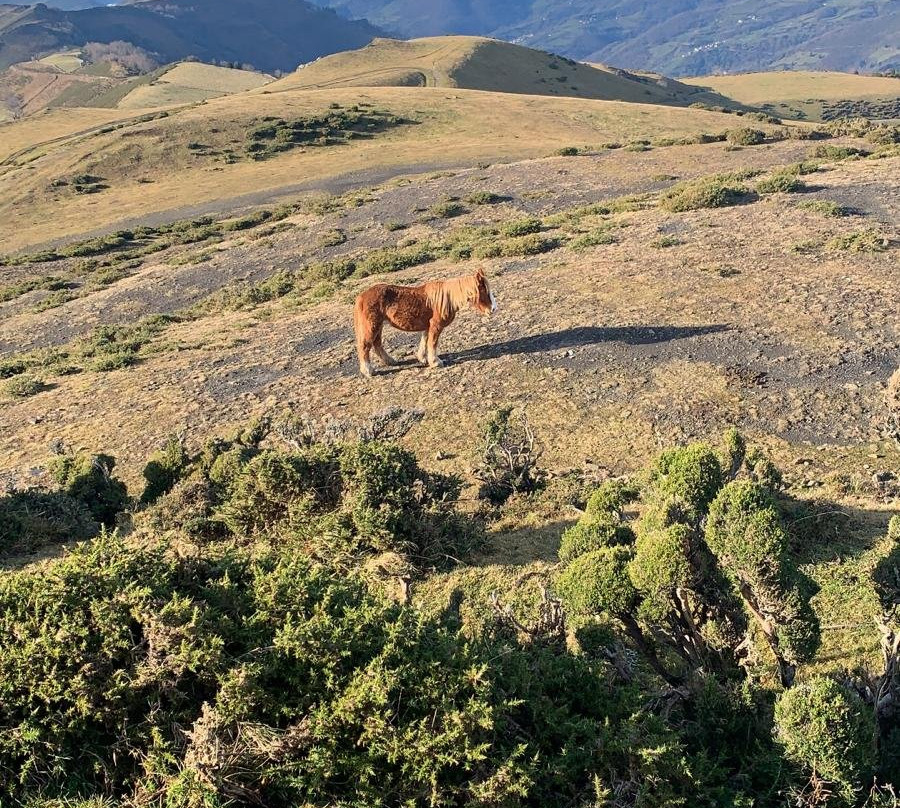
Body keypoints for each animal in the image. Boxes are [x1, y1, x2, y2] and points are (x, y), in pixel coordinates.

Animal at [352, 266, 496, 378]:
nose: (493, 309)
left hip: (379, 325)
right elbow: (432, 343)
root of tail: (361, 297)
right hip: (372, 326)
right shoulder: (436, 326)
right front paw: (435, 362)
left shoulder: (428, 326)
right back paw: (369, 371)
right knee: (365, 346)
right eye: (484, 291)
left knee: (377, 344)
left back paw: (390, 361)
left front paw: (423, 358)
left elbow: (425, 340)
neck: (447, 299)